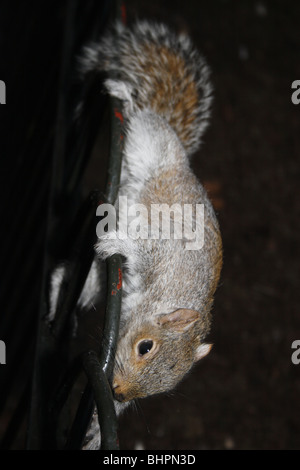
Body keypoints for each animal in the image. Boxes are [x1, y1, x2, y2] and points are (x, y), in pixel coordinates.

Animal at [50, 20, 221, 406]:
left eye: (168, 385)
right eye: (145, 347)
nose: (119, 392)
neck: (166, 296)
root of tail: (181, 155)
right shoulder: (165, 249)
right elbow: (140, 243)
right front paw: (119, 242)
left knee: (78, 280)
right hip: (148, 142)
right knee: (138, 118)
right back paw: (126, 97)